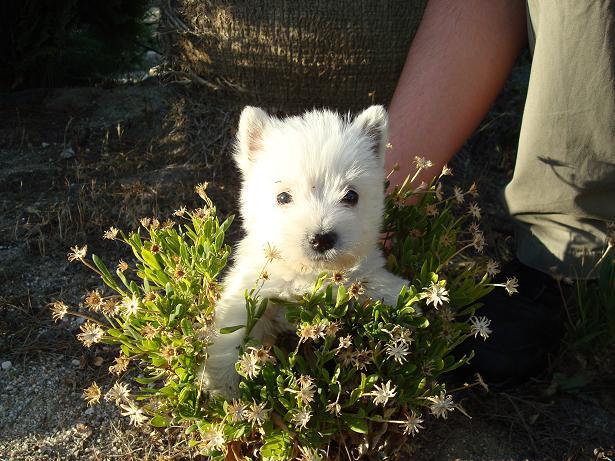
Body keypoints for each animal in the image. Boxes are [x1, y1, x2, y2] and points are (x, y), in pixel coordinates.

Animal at [202, 104, 412, 396]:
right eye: (282, 197)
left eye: (351, 195)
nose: (321, 239)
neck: (309, 275)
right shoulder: (252, 290)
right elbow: (233, 330)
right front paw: (222, 385)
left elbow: (382, 288)